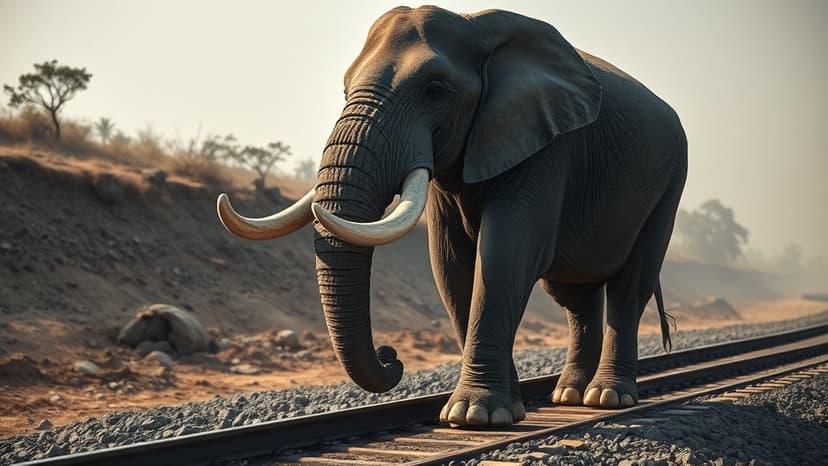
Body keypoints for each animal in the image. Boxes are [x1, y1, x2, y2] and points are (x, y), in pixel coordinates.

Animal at [216, 6, 687, 427]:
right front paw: (506, 411)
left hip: (669, 181)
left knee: (629, 287)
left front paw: (473, 416)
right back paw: (568, 394)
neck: (475, 25)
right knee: (575, 296)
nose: (391, 357)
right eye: (345, 90)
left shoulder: (548, 145)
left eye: (435, 90)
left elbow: (505, 253)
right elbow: (450, 263)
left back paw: (608, 398)